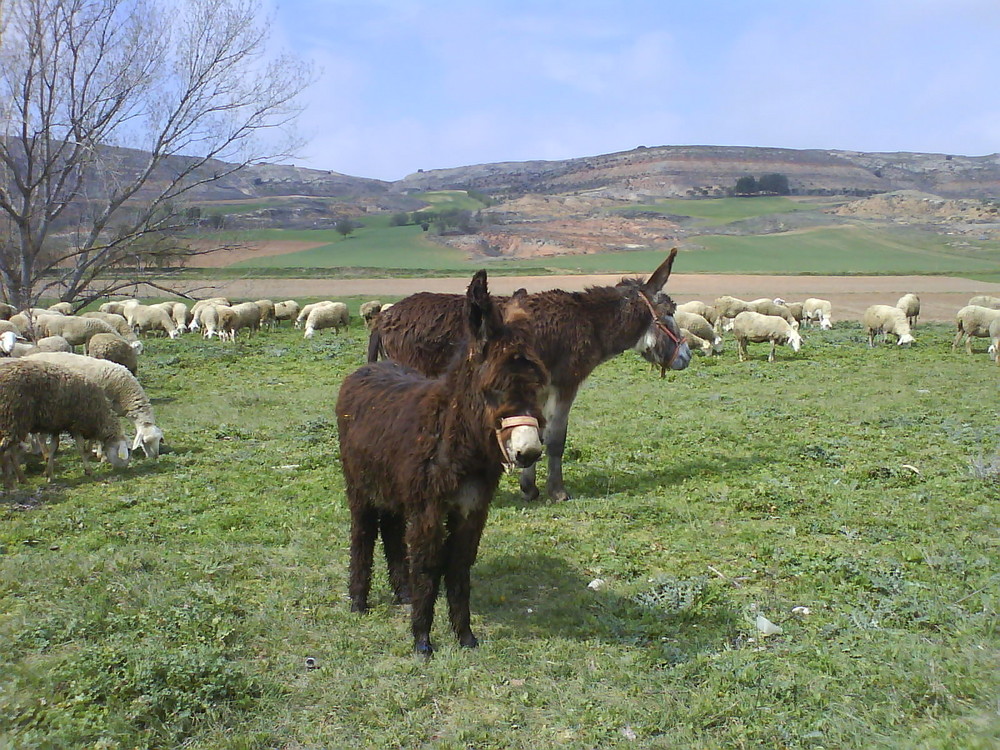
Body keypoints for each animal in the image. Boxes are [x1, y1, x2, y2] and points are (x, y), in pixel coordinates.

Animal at [27, 352, 166, 458]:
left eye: (159, 440)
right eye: (145, 442)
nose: (155, 457)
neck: (125, 392)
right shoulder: (100, 408)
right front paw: (100, 454)